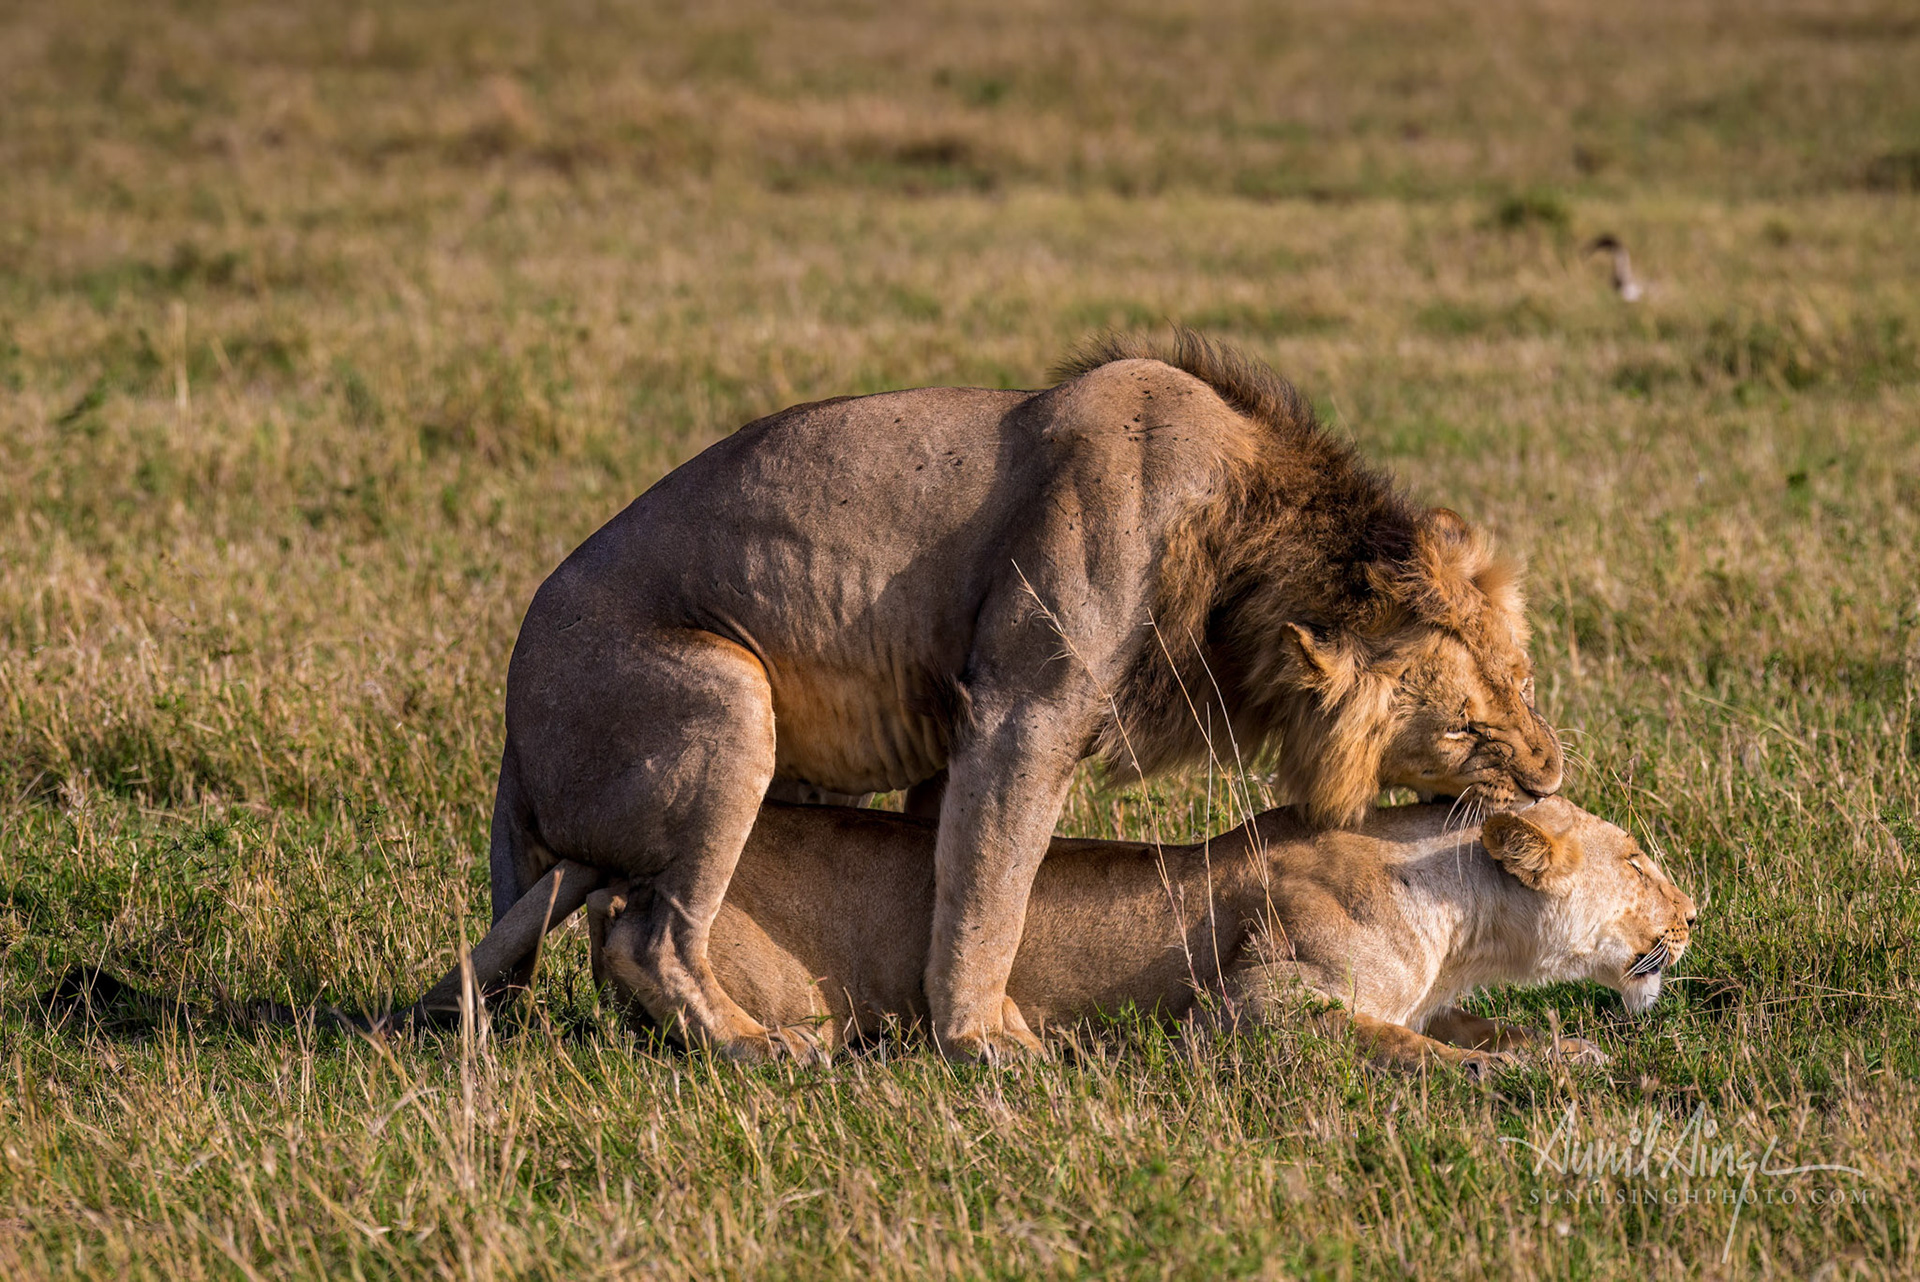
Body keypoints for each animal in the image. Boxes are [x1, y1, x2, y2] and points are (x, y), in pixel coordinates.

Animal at [487, 329, 1563, 1060]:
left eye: (1522, 677)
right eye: (1464, 729)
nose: (1551, 777)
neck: (1244, 544)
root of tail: (510, 731)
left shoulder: (952, 742)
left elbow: (954, 876)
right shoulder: (1020, 711)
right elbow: (993, 888)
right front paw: (981, 1042)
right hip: (728, 694)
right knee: (651, 934)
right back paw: (759, 1045)